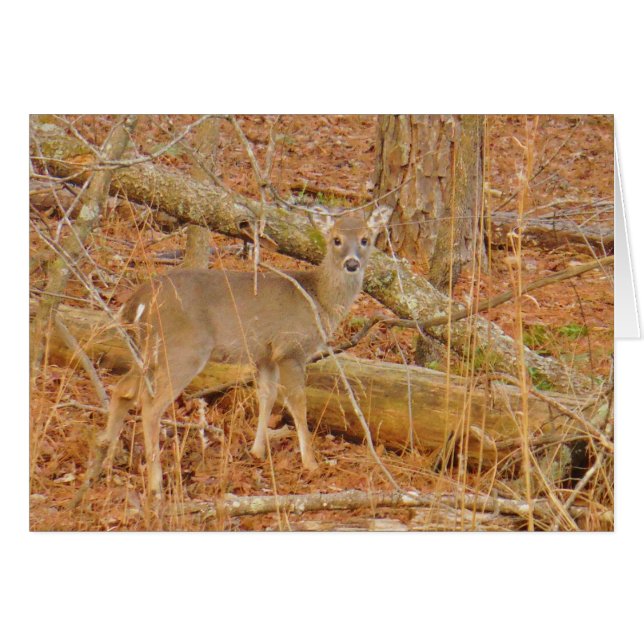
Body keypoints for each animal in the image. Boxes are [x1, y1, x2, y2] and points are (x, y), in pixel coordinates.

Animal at [72, 205, 392, 506]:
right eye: (336, 239)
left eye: (365, 239)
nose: (352, 263)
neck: (319, 300)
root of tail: (139, 299)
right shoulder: (291, 348)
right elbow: (297, 404)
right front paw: (311, 463)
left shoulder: (265, 354)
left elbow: (267, 396)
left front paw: (257, 451)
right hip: (184, 349)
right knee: (150, 406)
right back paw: (156, 486)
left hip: (147, 351)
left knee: (123, 389)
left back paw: (103, 461)